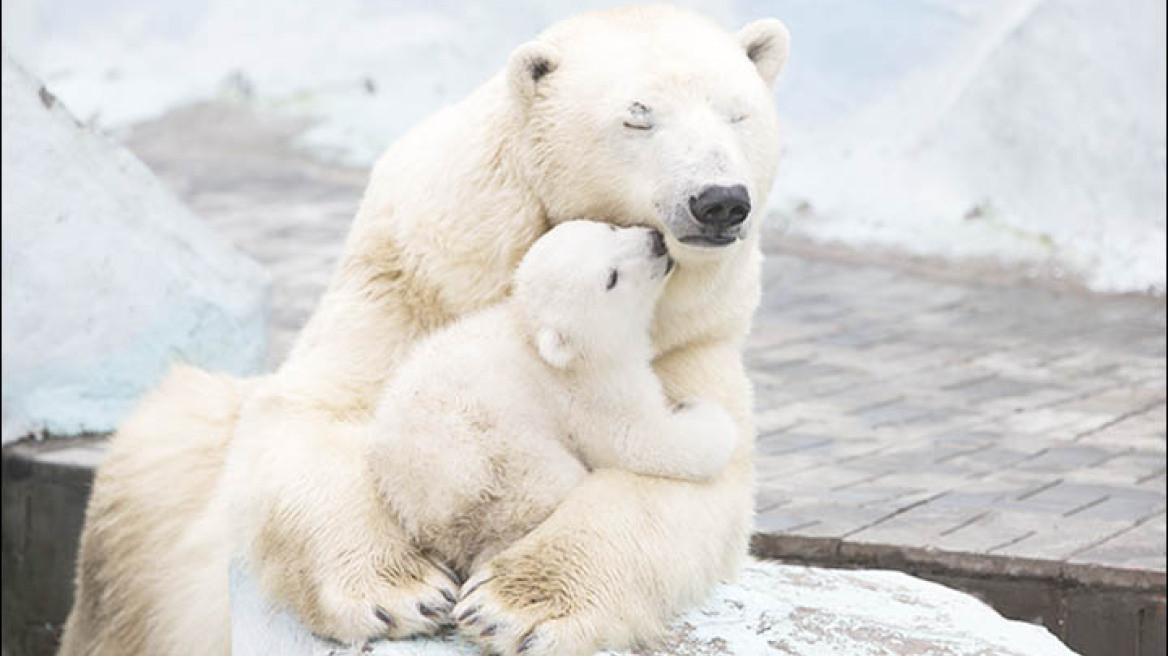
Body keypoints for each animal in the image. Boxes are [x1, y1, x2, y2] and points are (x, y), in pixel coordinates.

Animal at [59, 5, 789, 653]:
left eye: (738, 113)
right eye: (638, 117)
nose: (719, 200)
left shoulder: (689, 335)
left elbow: (681, 478)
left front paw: (513, 607)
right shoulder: (411, 280)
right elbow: (325, 413)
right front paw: (401, 592)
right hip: (149, 526)